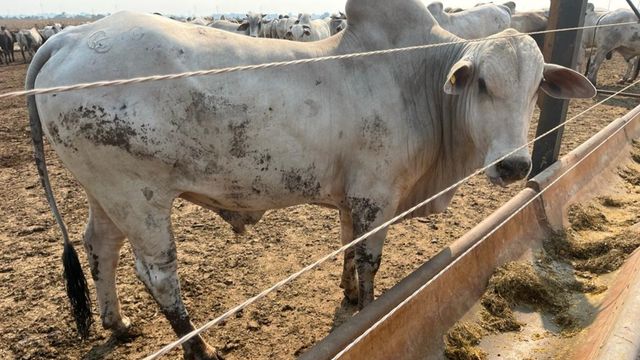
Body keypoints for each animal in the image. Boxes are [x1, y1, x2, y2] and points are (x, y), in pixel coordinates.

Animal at [25, 0, 596, 358]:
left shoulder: (352, 200)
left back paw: (118, 325)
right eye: (480, 83)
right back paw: (199, 348)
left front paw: (347, 296)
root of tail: (70, 37)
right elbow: (368, 260)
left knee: (100, 246)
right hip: (138, 195)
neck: (418, 80)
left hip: (106, 194)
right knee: (159, 275)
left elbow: (347, 248)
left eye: (536, 87)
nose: (515, 166)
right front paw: (369, 310)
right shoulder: (375, 196)